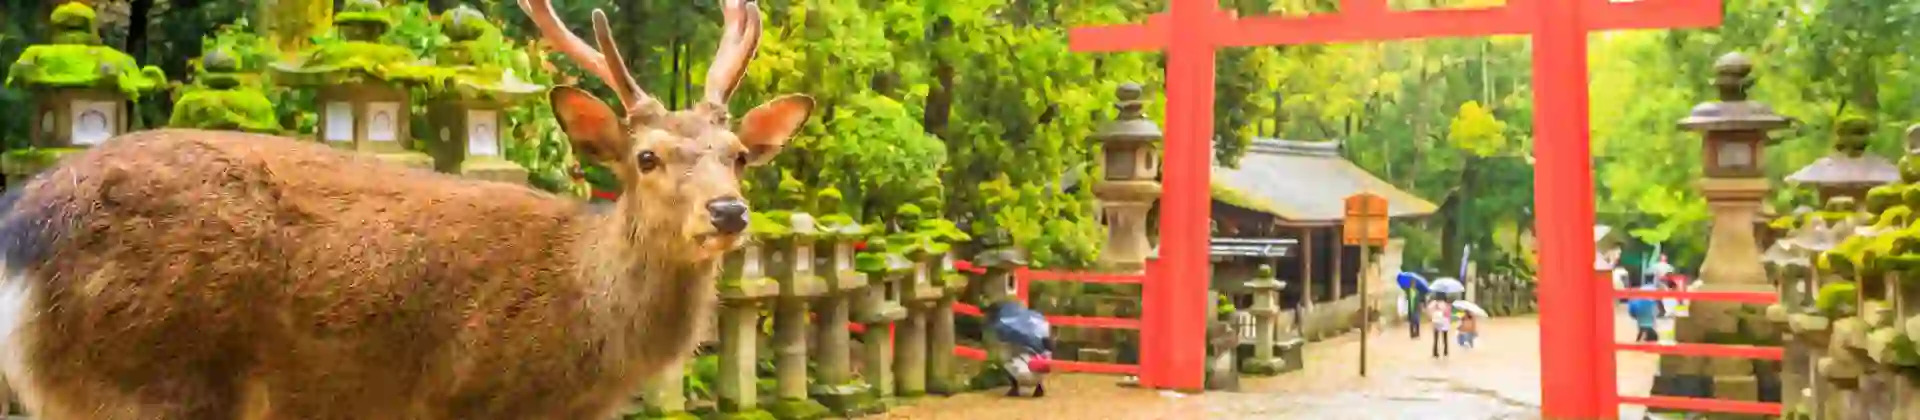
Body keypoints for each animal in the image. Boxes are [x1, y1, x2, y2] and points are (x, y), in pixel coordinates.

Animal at [0, 0, 811, 418]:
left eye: (738, 154)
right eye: (647, 157)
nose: (728, 212)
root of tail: (22, 231)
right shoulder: (474, 397)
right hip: (149, 379)